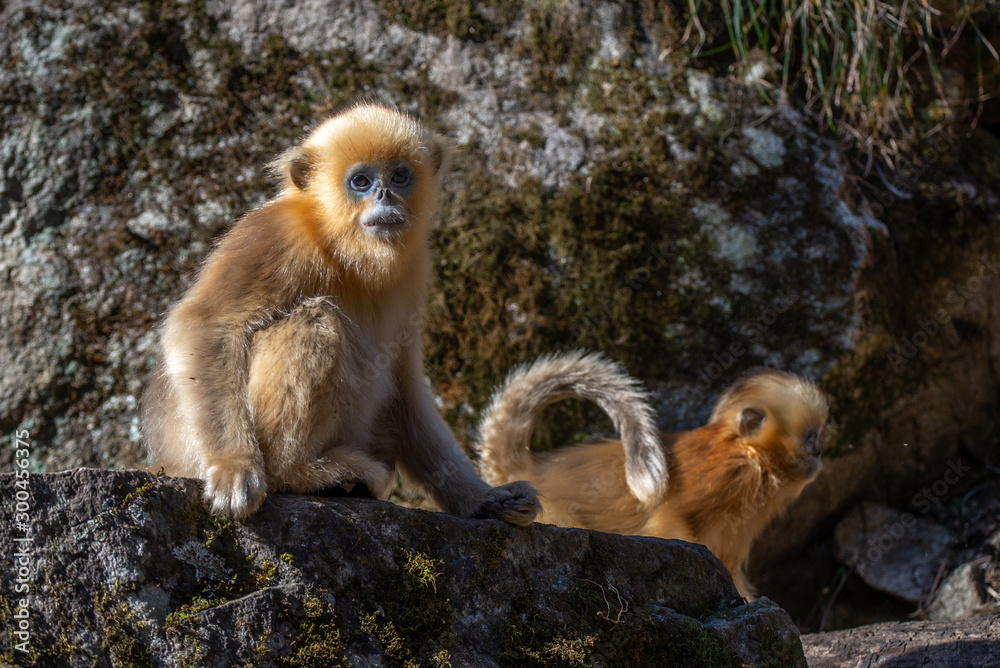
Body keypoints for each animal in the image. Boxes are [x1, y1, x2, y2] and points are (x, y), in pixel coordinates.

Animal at [142, 103, 539, 526]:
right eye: (361, 181)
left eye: (399, 176)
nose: (384, 194)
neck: (339, 246)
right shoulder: (275, 235)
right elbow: (207, 325)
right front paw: (235, 466)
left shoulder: (415, 272)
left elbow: (405, 387)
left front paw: (482, 499)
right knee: (318, 321)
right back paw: (301, 474)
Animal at [475, 352, 829, 598]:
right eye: (810, 438)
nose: (818, 453)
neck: (750, 455)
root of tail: (528, 470)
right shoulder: (728, 474)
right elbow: (669, 520)